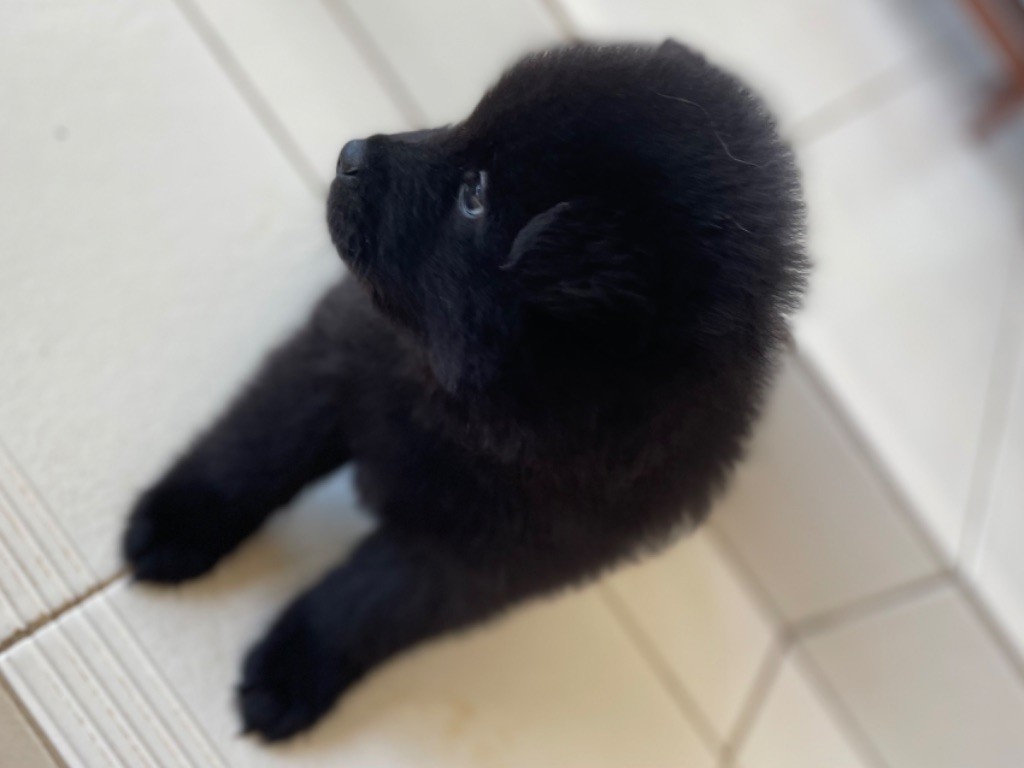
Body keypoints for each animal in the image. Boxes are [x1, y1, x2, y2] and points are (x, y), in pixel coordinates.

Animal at [122, 39, 807, 741]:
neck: (462, 410)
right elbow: (257, 446)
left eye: (475, 195)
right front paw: (178, 519)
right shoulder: (334, 363)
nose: (350, 155)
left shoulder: (471, 559)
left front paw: (290, 675)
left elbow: (365, 603)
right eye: (469, 123)